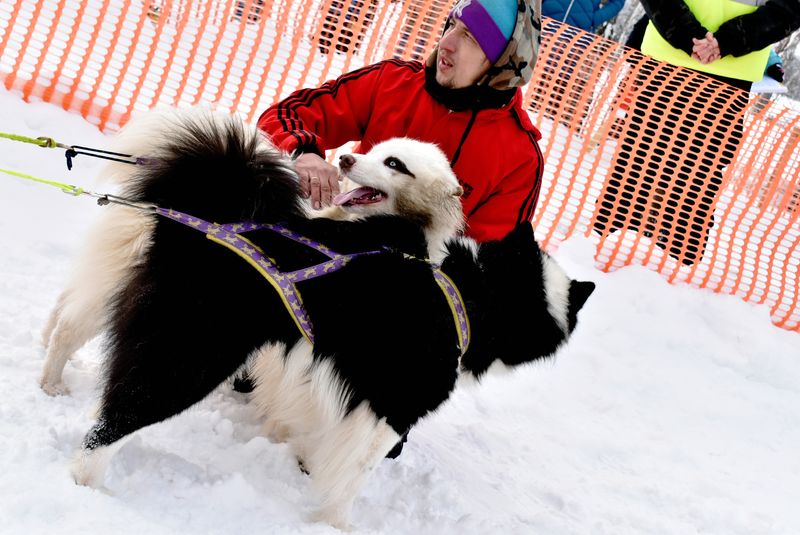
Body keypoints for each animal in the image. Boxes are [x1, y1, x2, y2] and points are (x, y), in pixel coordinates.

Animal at [39, 111, 462, 396]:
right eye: (376, 153)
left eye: (394, 163)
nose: (345, 160)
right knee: (71, 326)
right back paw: (52, 379)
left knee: (65, 303)